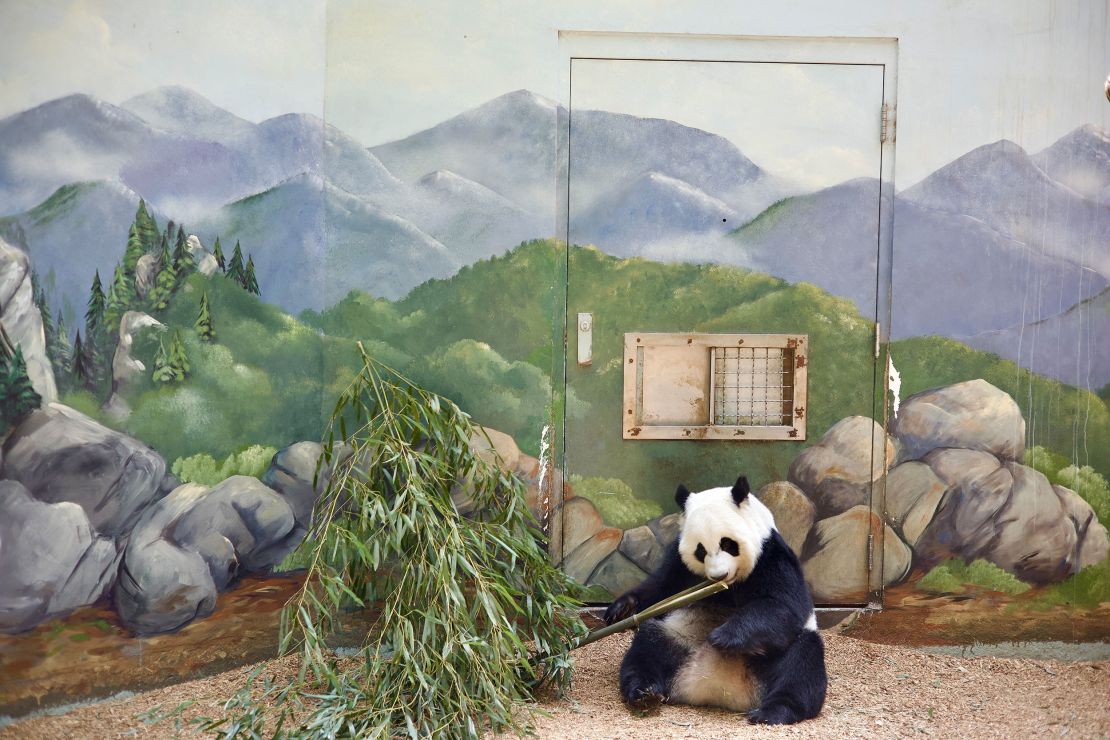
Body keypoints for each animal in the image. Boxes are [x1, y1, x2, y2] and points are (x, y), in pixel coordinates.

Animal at [603, 477, 830, 727]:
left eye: (728, 544)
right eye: (700, 550)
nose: (719, 575)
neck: (729, 586)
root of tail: (717, 688)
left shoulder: (772, 554)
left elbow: (783, 605)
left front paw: (724, 637)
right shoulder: (678, 562)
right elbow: (661, 589)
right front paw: (622, 610)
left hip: (773, 653)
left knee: (800, 665)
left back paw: (772, 712)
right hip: (677, 638)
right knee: (646, 649)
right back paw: (644, 693)